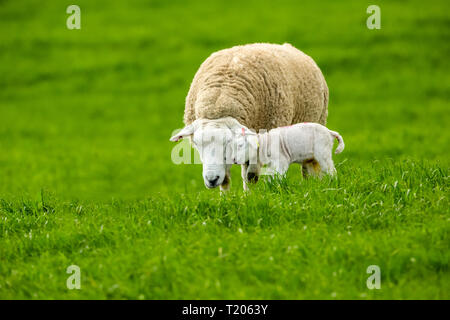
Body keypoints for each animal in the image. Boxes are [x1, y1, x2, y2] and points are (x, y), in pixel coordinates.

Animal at [171, 43, 328, 191]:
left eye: (228, 142)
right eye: (197, 143)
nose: (211, 179)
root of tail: (288, 46)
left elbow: (250, 176)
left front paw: (249, 198)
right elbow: (225, 179)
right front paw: (226, 199)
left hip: (317, 122)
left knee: (309, 164)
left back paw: (311, 185)